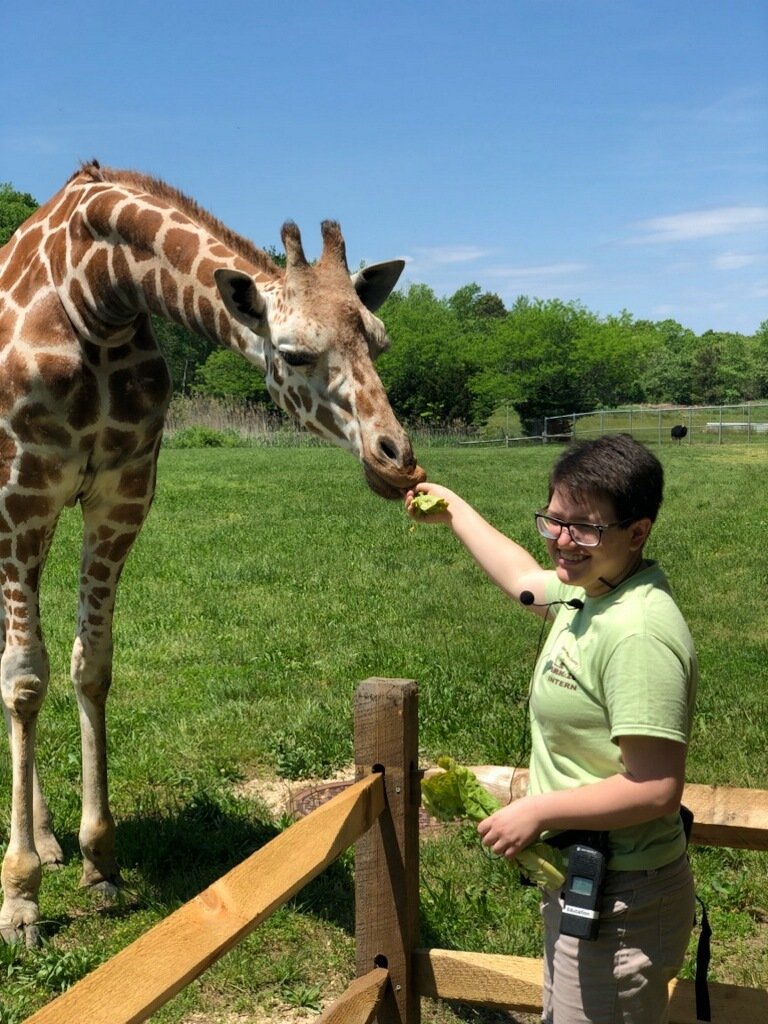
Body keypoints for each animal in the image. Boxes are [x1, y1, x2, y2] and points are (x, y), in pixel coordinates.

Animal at [0, 159, 423, 942]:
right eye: (293, 352)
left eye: (377, 340)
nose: (398, 461)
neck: (96, 297)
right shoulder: (22, 497)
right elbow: (25, 680)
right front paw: (20, 897)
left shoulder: (121, 495)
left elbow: (90, 666)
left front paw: (99, 862)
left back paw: (48, 836)